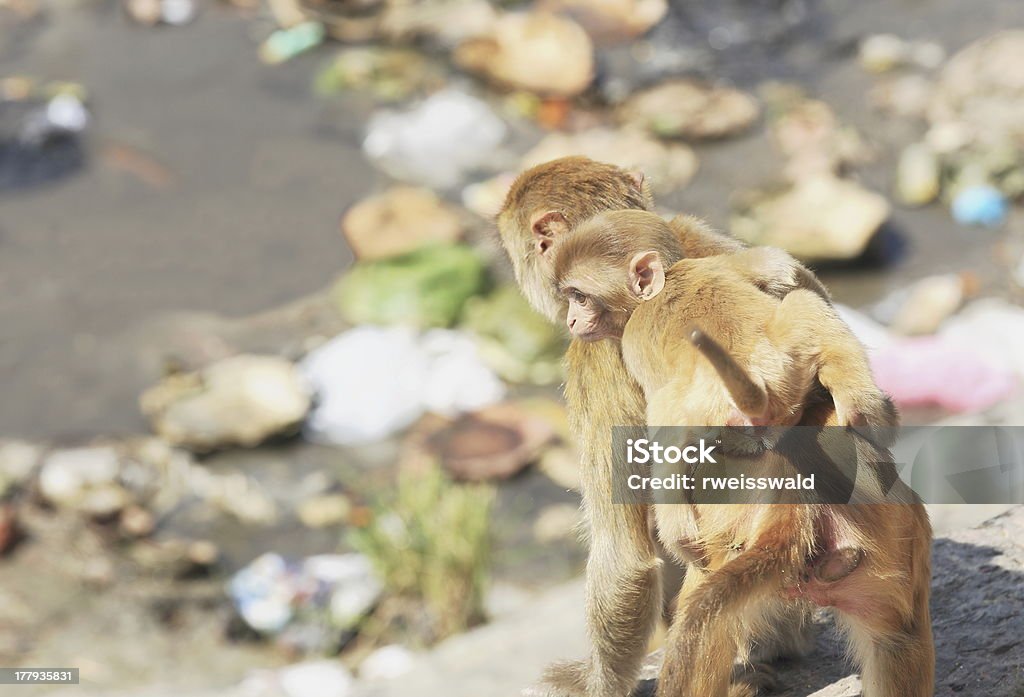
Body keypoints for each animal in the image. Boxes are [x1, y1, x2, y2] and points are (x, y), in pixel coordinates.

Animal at [552, 206, 937, 695]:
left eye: (578, 296)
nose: (571, 321)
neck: (664, 283)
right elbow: (781, 270)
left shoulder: (627, 340)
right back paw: (869, 411)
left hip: (709, 407)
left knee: (668, 412)